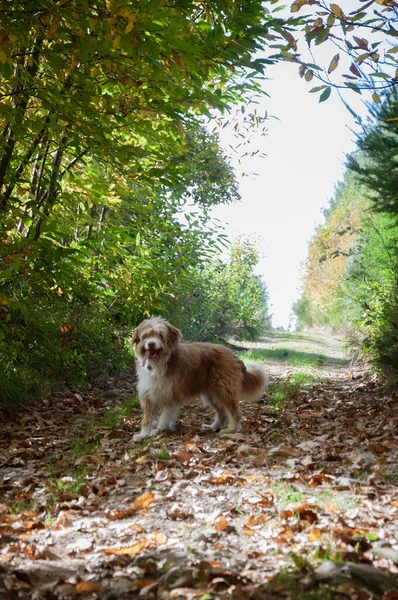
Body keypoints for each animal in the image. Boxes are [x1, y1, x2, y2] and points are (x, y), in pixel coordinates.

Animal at [131, 318, 268, 440]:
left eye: (160, 335)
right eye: (146, 336)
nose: (151, 343)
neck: (159, 363)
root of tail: (232, 354)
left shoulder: (171, 394)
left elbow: (164, 416)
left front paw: (159, 430)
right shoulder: (148, 394)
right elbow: (147, 418)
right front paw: (143, 434)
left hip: (224, 389)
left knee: (235, 412)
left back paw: (231, 429)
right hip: (212, 394)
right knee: (222, 413)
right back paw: (212, 427)